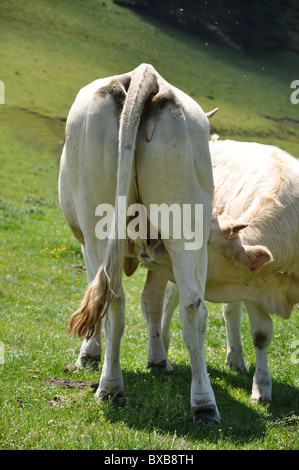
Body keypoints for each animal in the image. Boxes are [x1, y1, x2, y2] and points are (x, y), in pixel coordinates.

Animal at [58, 63, 220, 422]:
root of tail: (145, 74)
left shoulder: (87, 244)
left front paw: (89, 353)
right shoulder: (159, 250)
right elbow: (152, 302)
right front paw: (158, 359)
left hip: (97, 226)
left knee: (112, 298)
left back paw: (110, 386)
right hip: (185, 226)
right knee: (192, 305)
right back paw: (204, 403)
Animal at [145, 139, 299, 404]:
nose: (150, 242)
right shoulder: (254, 286)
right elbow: (261, 335)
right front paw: (262, 388)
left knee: (231, 312)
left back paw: (236, 358)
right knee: (170, 301)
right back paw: (162, 346)